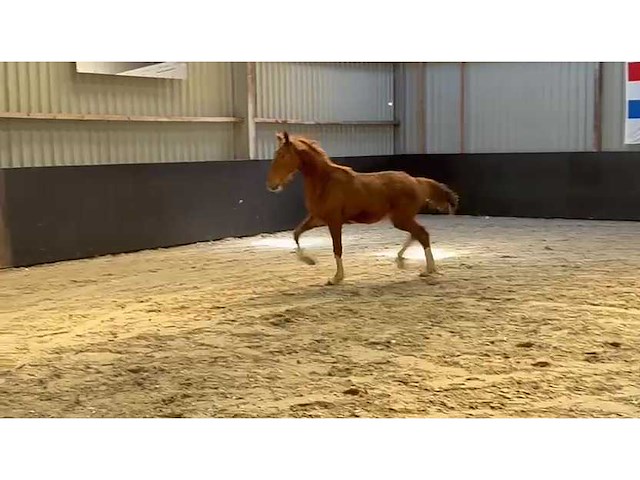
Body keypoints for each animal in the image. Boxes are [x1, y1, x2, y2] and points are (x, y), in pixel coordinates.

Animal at [266, 131, 459, 285]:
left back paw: (428, 269)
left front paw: (336, 278)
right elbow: (296, 233)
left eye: (283, 155)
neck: (325, 182)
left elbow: (337, 248)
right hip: (401, 218)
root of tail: (416, 181)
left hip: (401, 218)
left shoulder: (334, 221)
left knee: (422, 234)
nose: (271, 185)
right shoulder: (318, 218)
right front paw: (309, 260)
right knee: (416, 234)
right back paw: (402, 260)